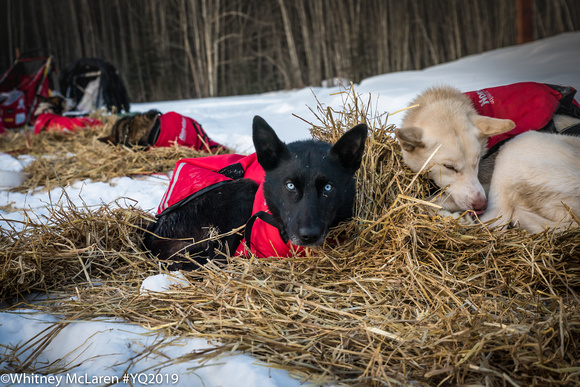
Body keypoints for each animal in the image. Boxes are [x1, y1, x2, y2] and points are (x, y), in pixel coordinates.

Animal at [396, 87, 580, 233]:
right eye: (448, 166)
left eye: (477, 160)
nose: (480, 205)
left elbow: (426, 201)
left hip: (514, 148)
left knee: (494, 221)